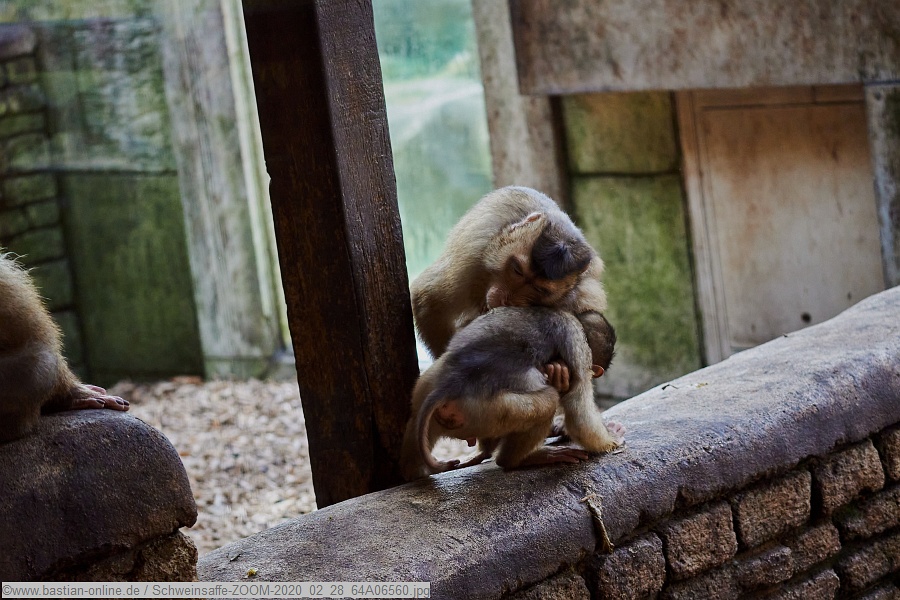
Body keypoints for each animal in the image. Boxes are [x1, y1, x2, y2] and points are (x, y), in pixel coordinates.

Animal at [399, 307, 623, 481]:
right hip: (484, 413)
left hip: (425, 385)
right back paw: (517, 460)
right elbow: (580, 416)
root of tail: (448, 384)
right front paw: (611, 440)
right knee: (549, 400)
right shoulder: (577, 342)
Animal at [410, 186, 607, 360]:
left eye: (539, 289)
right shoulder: (469, 263)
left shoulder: (579, 297)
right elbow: (428, 300)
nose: (505, 298)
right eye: (517, 270)